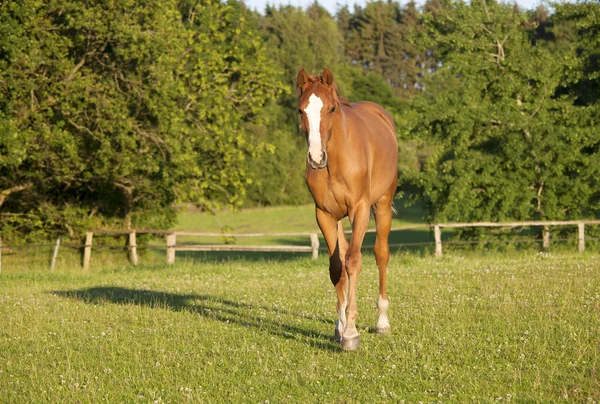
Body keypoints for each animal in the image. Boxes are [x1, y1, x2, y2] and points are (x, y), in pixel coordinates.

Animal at [296, 67, 398, 350]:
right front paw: (340, 327)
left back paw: (382, 321)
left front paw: (351, 332)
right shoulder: (325, 215)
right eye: (300, 110)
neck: (336, 160)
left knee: (381, 254)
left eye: (331, 108)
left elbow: (353, 261)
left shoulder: (360, 209)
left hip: (382, 204)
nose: (316, 158)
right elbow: (336, 267)